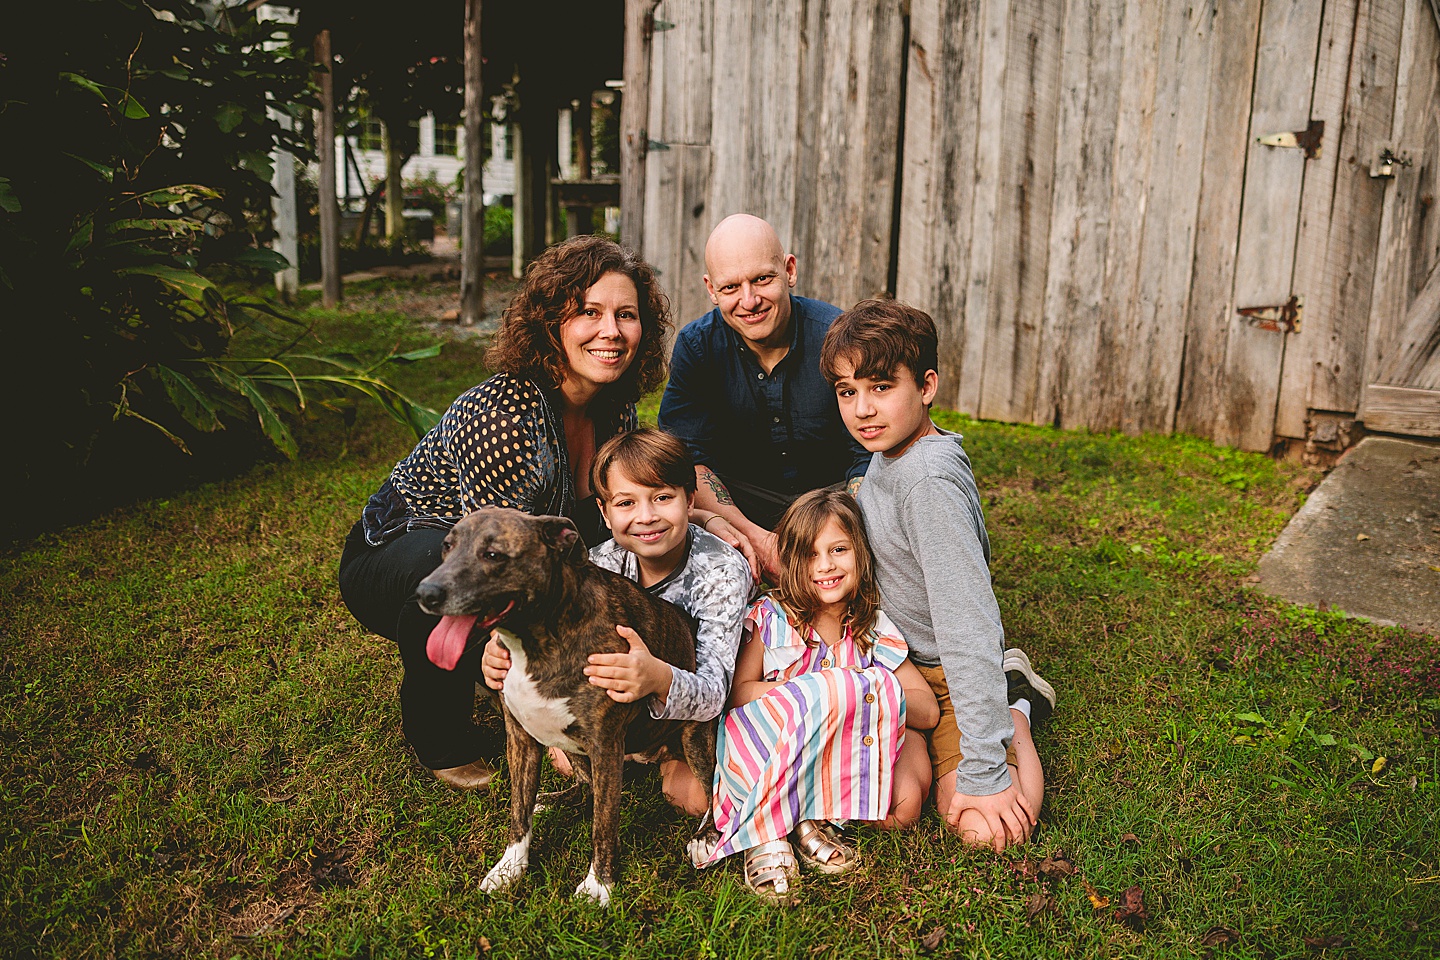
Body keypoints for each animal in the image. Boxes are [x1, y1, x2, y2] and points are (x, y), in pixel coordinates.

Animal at [414, 506, 717, 903]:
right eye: (447, 547)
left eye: (493, 555)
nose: (425, 592)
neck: (538, 640)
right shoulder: (521, 737)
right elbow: (519, 812)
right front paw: (509, 868)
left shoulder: (605, 746)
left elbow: (604, 823)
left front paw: (598, 885)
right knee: (584, 787)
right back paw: (554, 799)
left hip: (695, 739)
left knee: (712, 789)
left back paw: (704, 837)